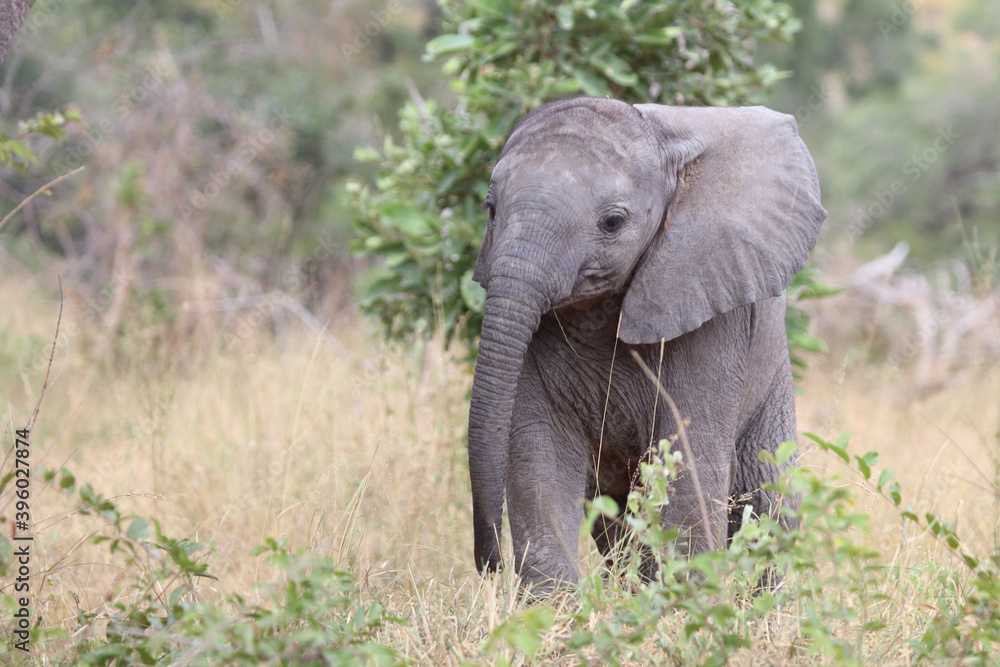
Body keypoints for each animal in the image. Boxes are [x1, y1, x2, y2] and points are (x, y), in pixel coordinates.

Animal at [467, 97, 826, 592]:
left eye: (613, 222)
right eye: (490, 209)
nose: (490, 564)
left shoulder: (711, 304)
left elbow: (688, 458)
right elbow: (541, 454)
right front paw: (555, 610)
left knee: (770, 501)